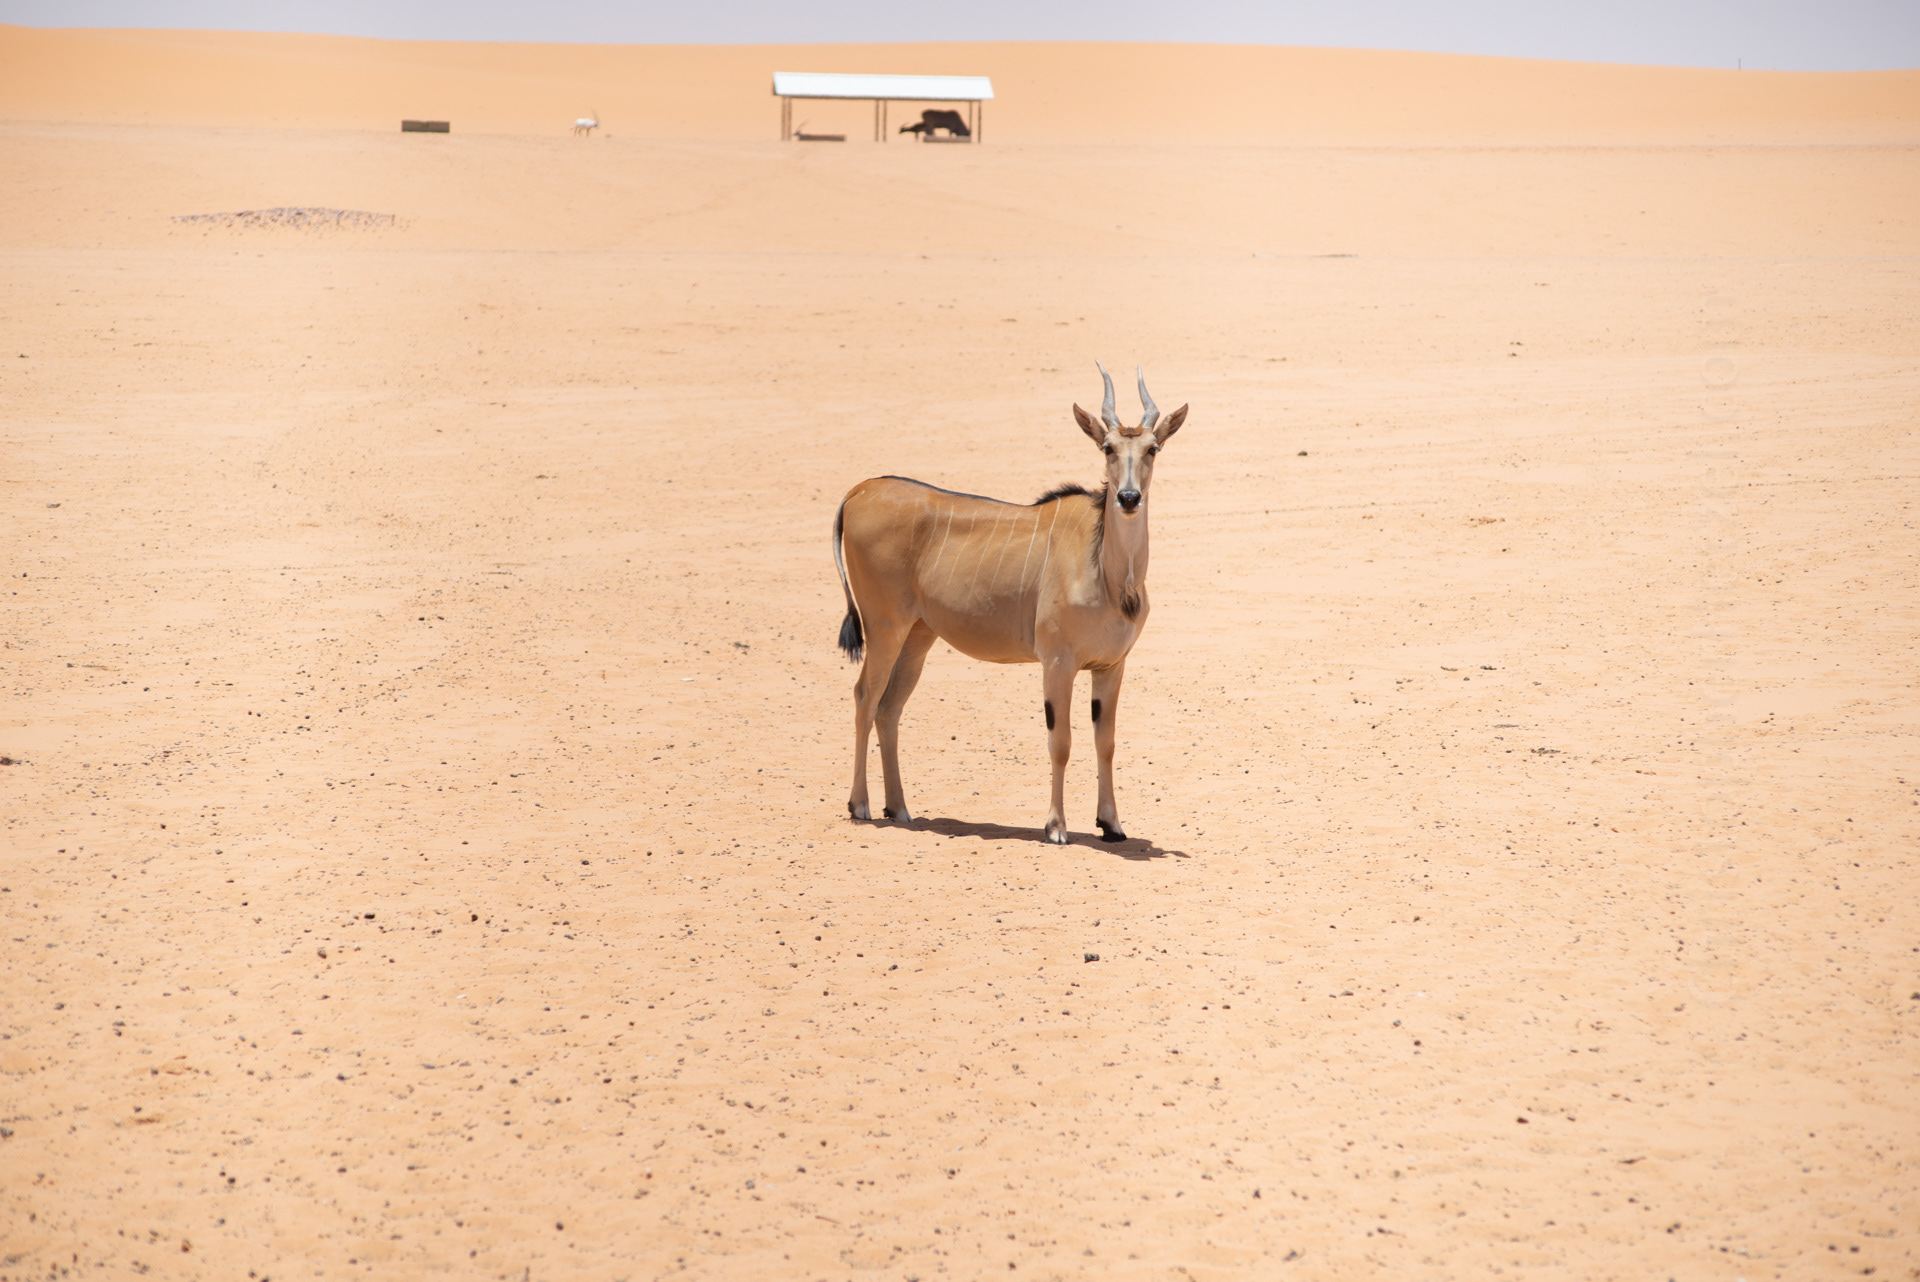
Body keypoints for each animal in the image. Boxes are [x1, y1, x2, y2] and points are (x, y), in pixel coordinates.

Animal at [832, 363, 1188, 844]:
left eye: (1152, 448)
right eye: (1108, 447)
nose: (1128, 498)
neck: (1110, 572)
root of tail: (859, 491)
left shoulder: (1111, 666)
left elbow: (1106, 742)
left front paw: (1111, 824)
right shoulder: (1057, 661)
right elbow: (1061, 742)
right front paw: (1056, 827)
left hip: (917, 636)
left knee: (889, 709)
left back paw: (900, 808)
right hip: (883, 627)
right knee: (865, 697)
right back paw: (861, 805)